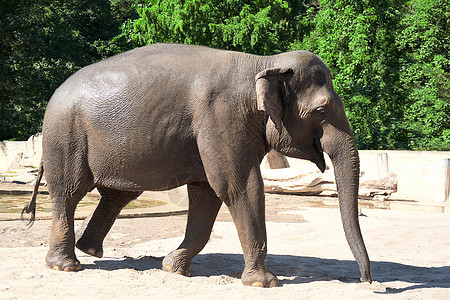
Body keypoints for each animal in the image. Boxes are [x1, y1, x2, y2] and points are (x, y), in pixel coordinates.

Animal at [22, 43, 370, 288]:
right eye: (322, 111)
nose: (365, 280)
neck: (264, 62)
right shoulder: (222, 117)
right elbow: (239, 187)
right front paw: (264, 283)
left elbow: (208, 192)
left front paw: (173, 267)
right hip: (66, 136)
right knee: (69, 192)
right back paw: (66, 265)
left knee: (118, 194)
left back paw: (90, 251)